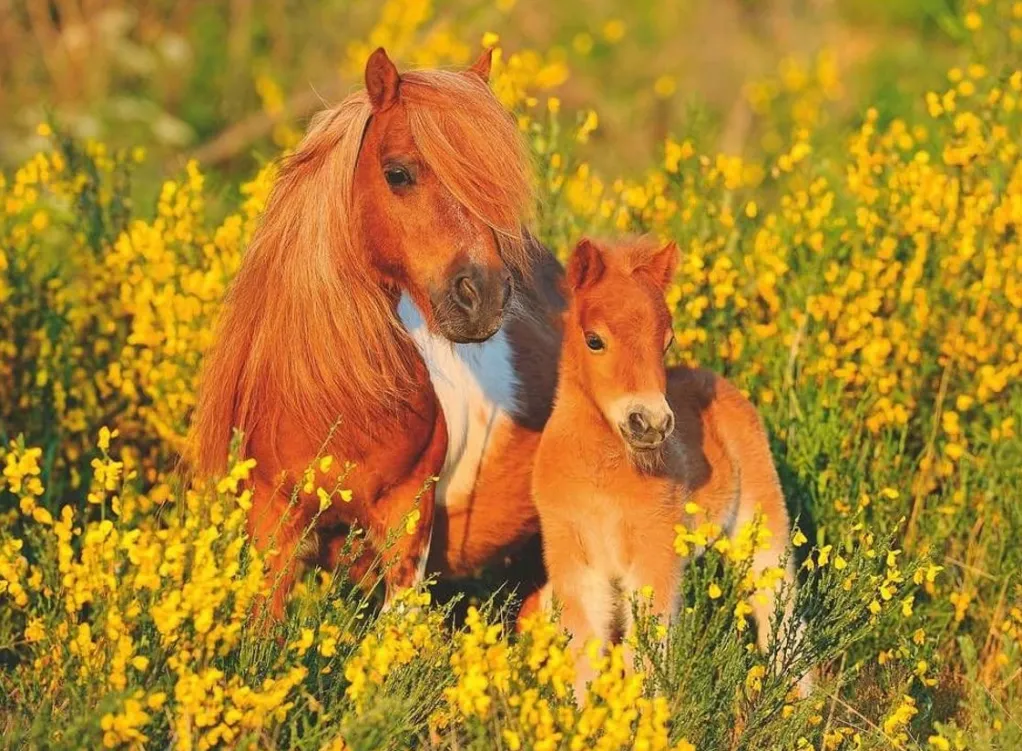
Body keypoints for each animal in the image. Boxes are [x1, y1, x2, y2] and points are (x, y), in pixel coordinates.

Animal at [531, 236, 801, 696]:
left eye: (667, 342)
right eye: (594, 340)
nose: (650, 423)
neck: (601, 477)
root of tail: (716, 379)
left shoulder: (652, 555)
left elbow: (646, 655)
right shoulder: (575, 560)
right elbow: (585, 653)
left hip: (760, 517)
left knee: (779, 605)